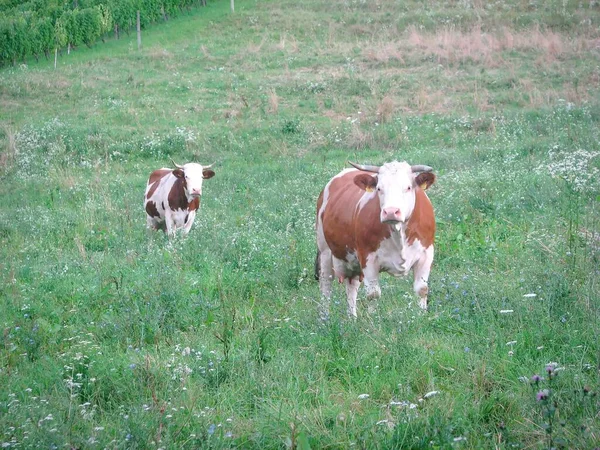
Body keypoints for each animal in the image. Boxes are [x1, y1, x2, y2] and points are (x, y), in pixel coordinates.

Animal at [314, 160, 436, 318]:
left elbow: (421, 289)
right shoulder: (367, 257)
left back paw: (352, 318)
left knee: (351, 286)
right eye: (379, 188)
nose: (391, 212)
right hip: (325, 251)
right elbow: (373, 294)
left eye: (408, 187)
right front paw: (375, 320)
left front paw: (421, 316)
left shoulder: (426, 254)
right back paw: (325, 319)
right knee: (326, 284)